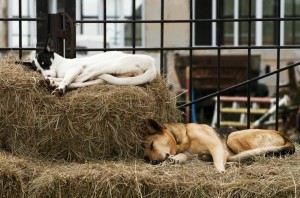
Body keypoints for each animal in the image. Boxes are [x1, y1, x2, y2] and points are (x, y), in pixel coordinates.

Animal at [144, 119, 296, 172]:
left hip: (233, 137)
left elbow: (218, 165)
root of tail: (283, 135)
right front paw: (173, 159)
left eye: (152, 144)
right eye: (146, 157)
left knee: (255, 157)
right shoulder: (188, 154)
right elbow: (180, 157)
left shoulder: (217, 149)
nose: (152, 162)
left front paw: (220, 172)